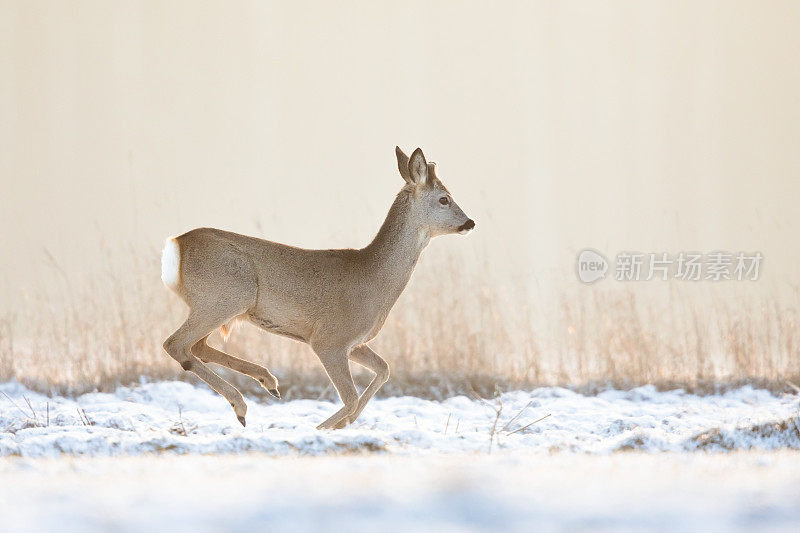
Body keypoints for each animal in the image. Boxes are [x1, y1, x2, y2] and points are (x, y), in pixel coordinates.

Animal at [162, 147, 476, 428]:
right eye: (444, 199)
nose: (469, 222)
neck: (375, 278)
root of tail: (176, 244)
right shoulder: (329, 338)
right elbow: (350, 397)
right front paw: (324, 428)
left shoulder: (354, 341)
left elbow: (384, 369)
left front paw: (343, 424)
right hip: (224, 298)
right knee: (175, 344)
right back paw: (242, 405)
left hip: (219, 305)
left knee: (197, 346)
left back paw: (268, 383)